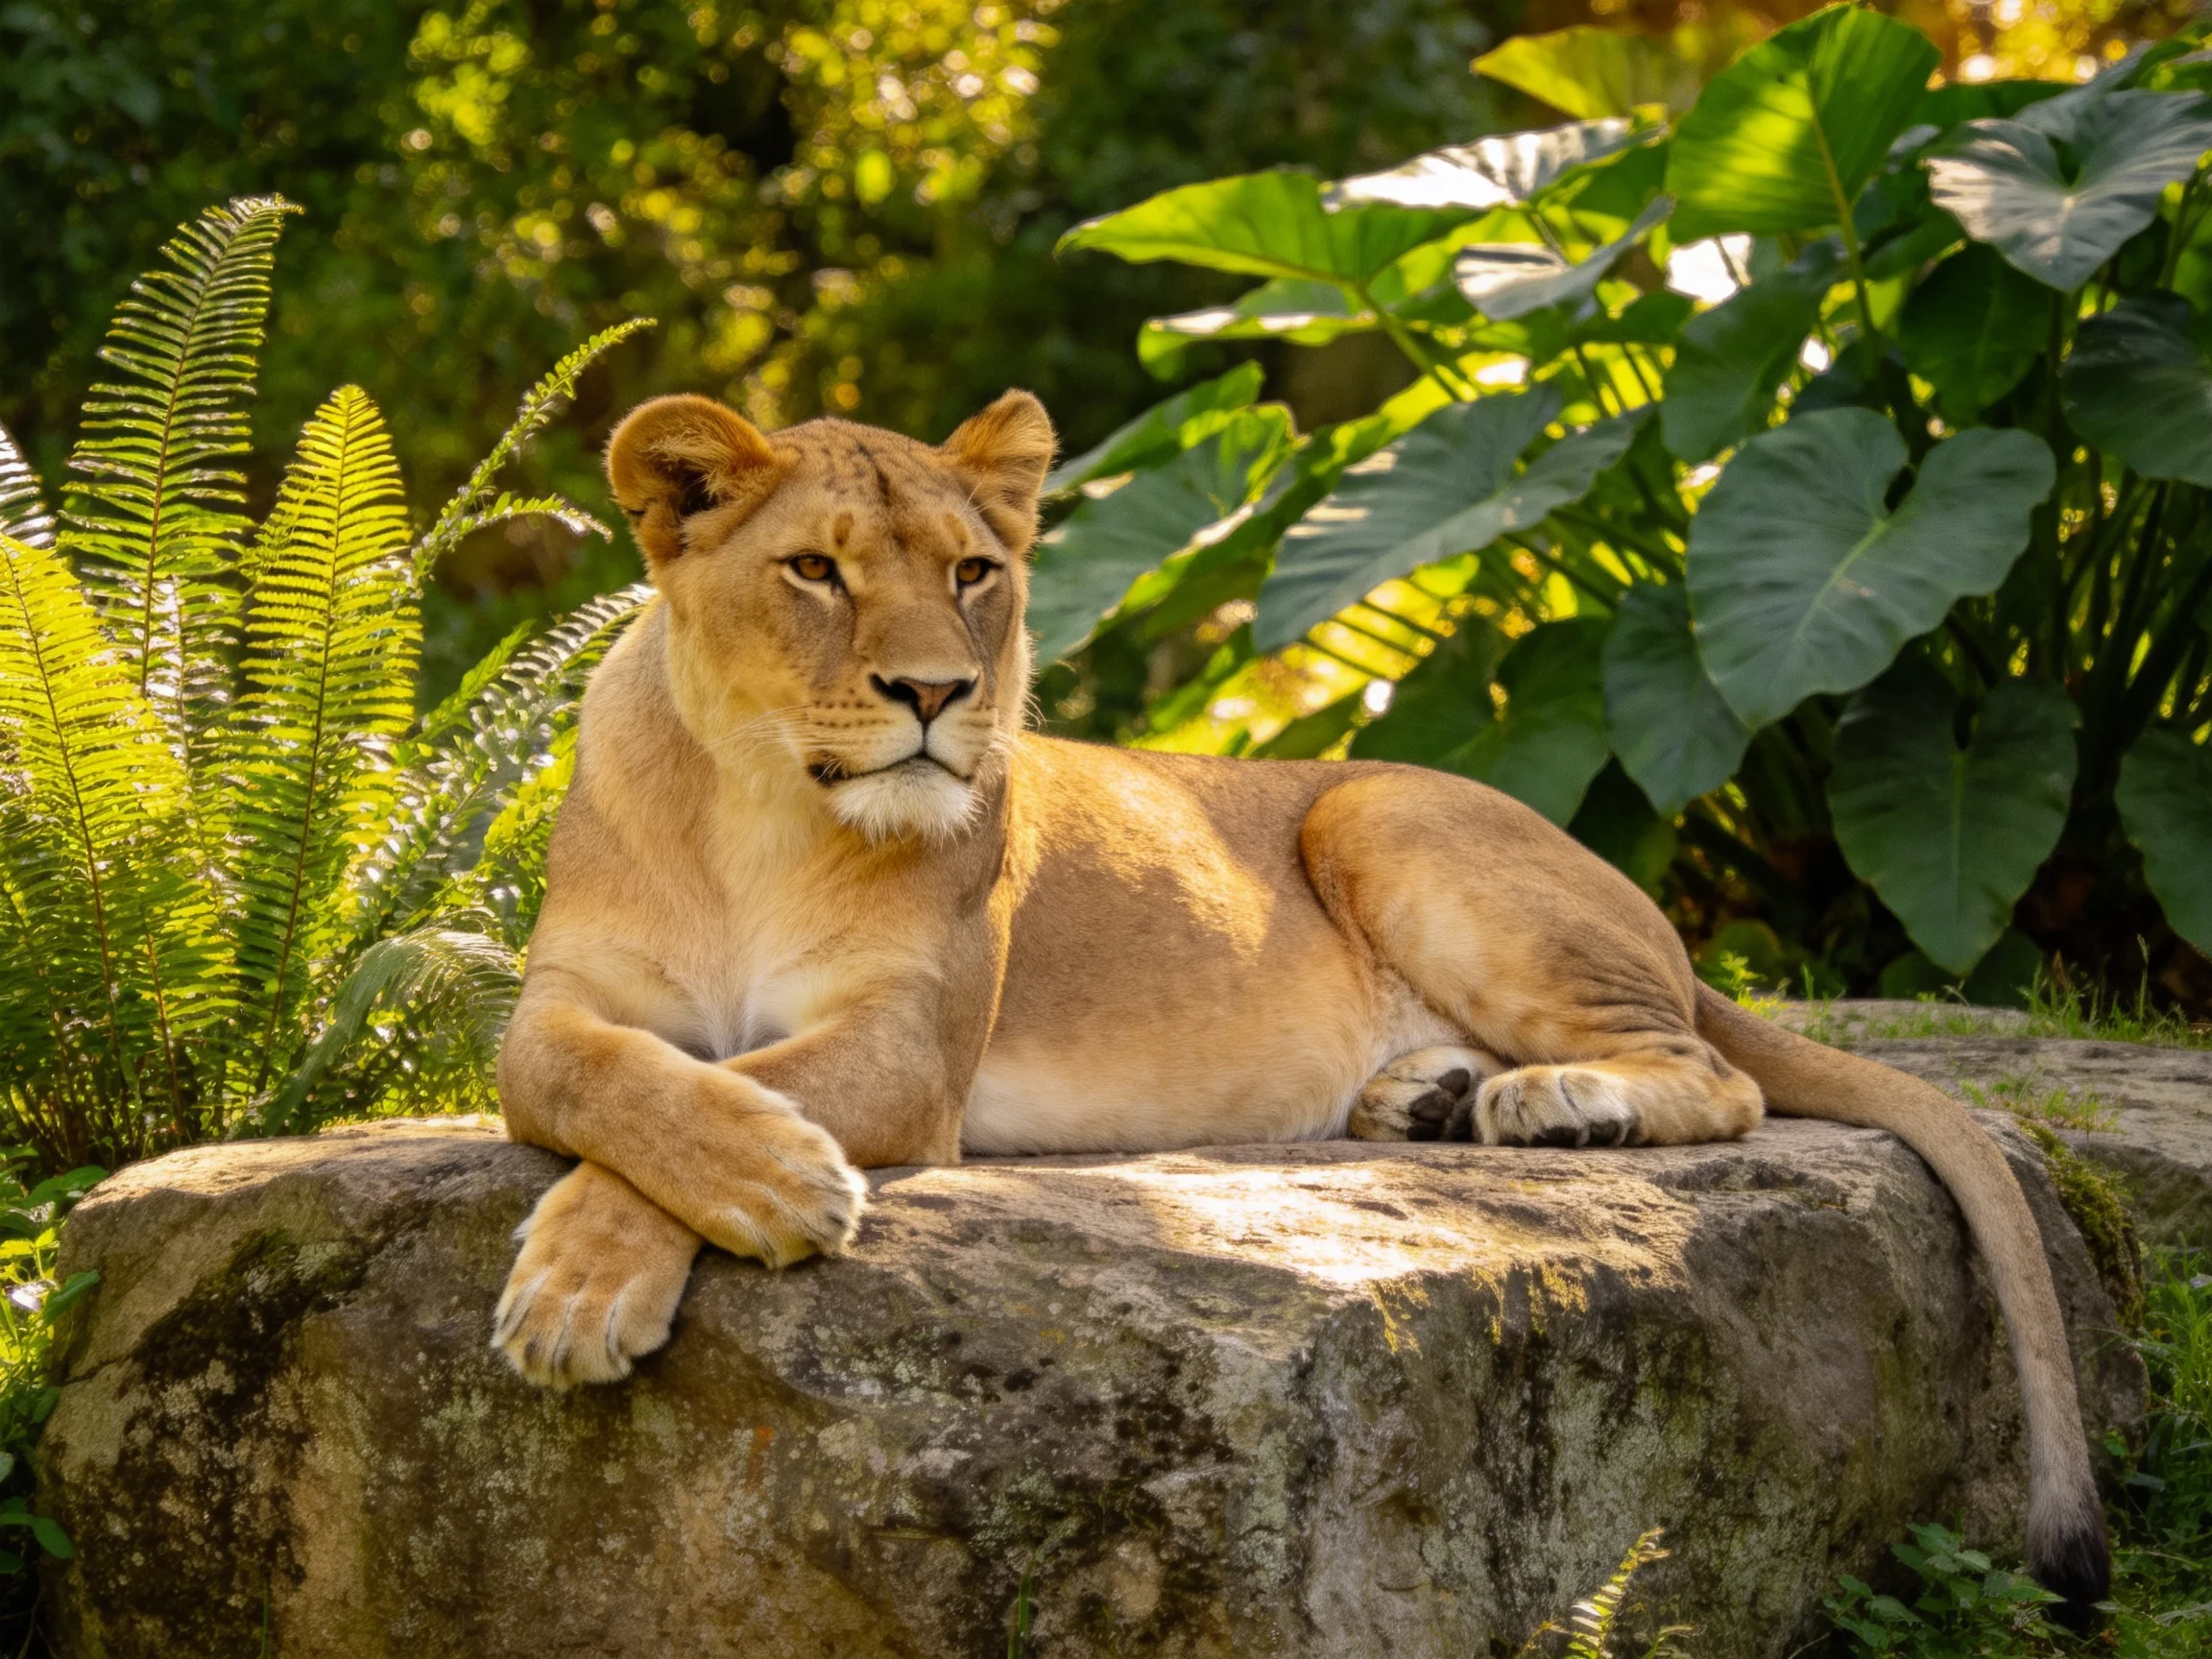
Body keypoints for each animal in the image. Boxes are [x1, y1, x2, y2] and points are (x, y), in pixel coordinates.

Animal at [491, 389, 2108, 1610]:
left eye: (972, 575)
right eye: (816, 573)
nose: (938, 695)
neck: (755, 808)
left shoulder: (911, 1048)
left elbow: (742, 1086)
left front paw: (627, 1263)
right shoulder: (551, 1009)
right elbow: (604, 1081)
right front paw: (610, 1269)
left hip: (1377, 812)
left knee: (1726, 1079)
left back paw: (1549, 1103)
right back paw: (1430, 1096)